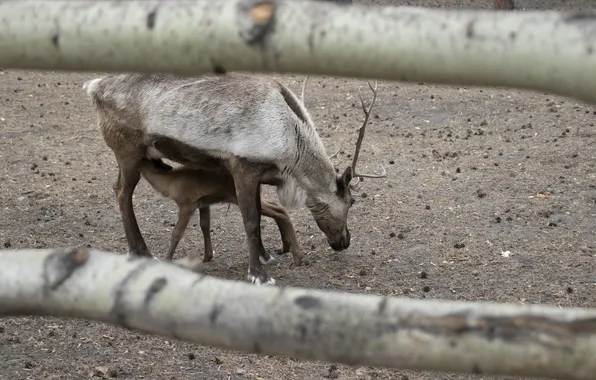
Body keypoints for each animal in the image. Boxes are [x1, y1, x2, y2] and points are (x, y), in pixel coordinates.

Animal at [140, 159, 302, 266]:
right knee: (278, 208)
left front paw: (166, 260)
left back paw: (297, 258)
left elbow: (176, 233)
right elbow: (204, 225)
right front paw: (206, 257)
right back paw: (285, 248)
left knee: (280, 210)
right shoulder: (203, 203)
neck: (170, 182)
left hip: (239, 198)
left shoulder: (187, 204)